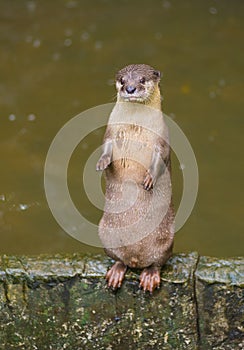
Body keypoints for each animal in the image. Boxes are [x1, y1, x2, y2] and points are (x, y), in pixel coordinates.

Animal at [96, 63, 174, 292]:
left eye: (142, 79)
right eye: (122, 80)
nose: (130, 88)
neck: (135, 128)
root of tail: (136, 260)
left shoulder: (162, 138)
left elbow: (160, 159)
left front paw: (149, 179)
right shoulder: (110, 132)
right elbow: (106, 146)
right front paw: (102, 163)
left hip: (167, 240)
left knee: (158, 262)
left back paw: (149, 276)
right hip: (105, 234)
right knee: (119, 259)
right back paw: (117, 271)